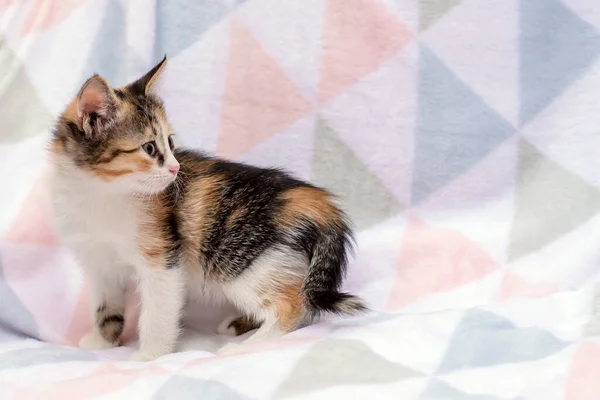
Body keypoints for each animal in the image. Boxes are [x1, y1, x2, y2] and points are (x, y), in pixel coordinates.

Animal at [49, 57, 366, 360]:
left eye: (170, 142)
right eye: (149, 148)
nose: (176, 168)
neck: (99, 193)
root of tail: (315, 200)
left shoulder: (162, 260)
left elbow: (157, 314)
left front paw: (148, 356)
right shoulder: (97, 263)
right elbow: (105, 305)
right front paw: (102, 341)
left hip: (244, 261)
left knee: (295, 305)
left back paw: (244, 346)